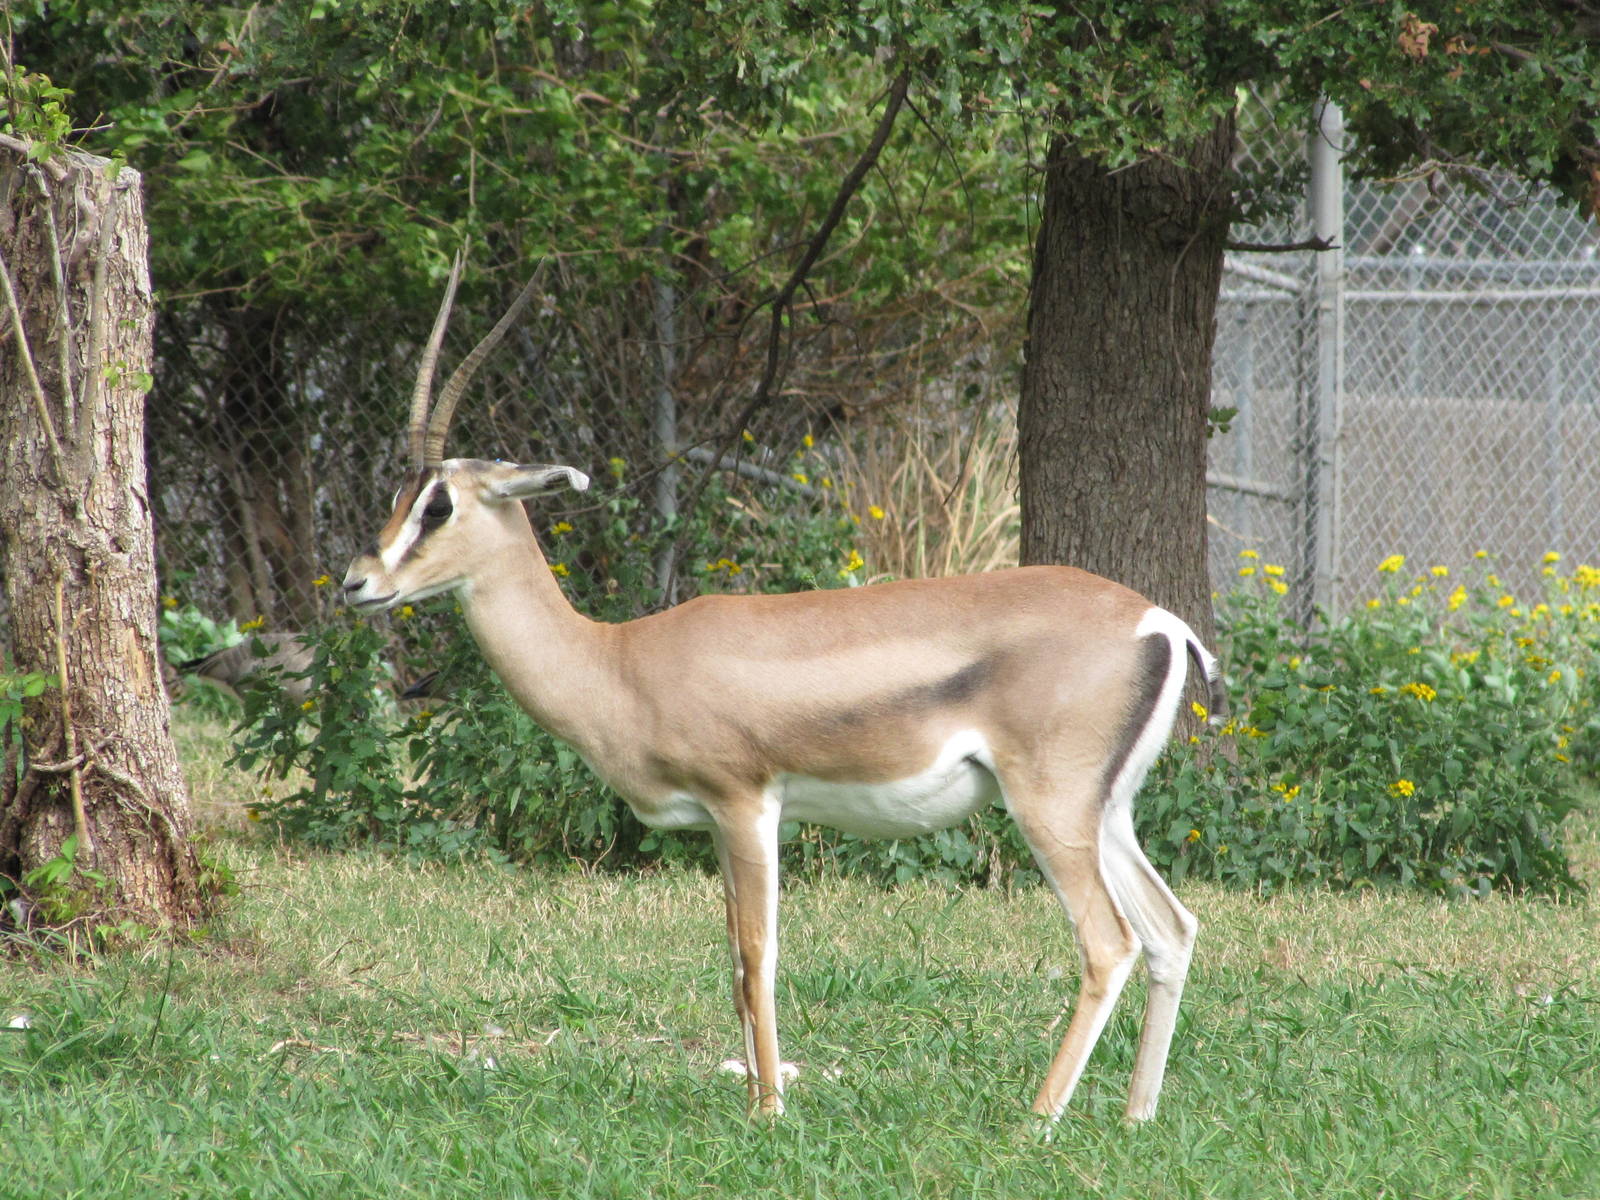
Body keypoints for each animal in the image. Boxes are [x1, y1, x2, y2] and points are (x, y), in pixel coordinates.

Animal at [341, 257, 1226, 1125]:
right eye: (399, 496)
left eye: (439, 505)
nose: (357, 583)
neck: (618, 660)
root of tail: (1158, 622)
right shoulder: (715, 826)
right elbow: (732, 957)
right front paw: (753, 1100)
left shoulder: (746, 806)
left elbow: (757, 954)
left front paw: (769, 1111)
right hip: (1104, 813)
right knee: (1171, 930)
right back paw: (1135, 1116)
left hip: (1048, 808)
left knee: (1108, 942)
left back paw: (1038, 1119)